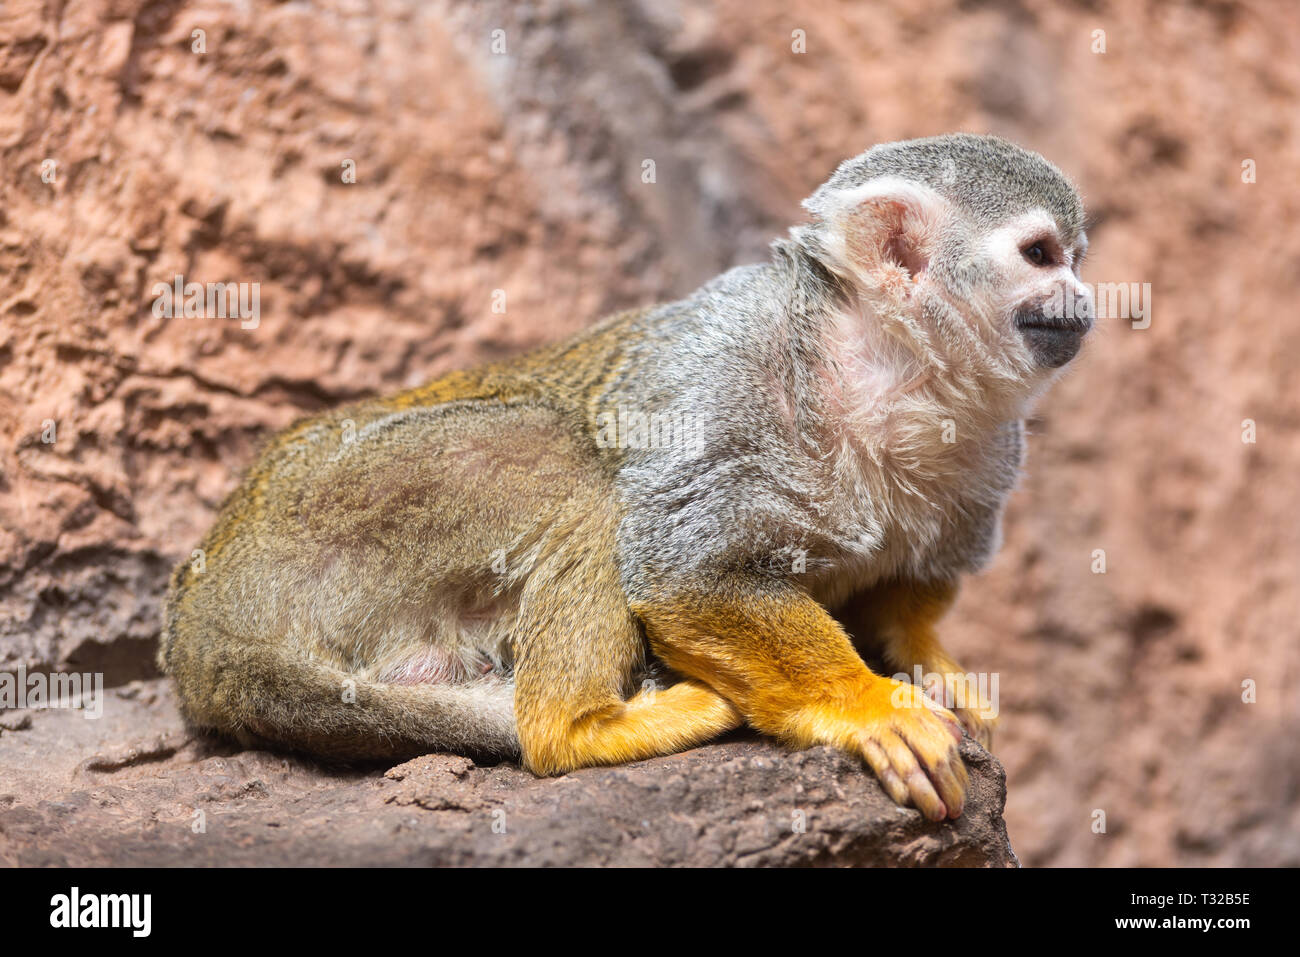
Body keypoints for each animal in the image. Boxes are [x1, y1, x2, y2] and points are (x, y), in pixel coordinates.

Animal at [158, 133, 1093, 822]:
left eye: (1076, 257)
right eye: (1040, 253)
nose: (1085, 299)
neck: (886, 373)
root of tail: (209, 609)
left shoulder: (994, 445)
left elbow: (906, 588)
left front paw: (928, 657)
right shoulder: (732, 387)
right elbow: (686, 573)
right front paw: (867, 705)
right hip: (339, 505)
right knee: (576, 469)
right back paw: (578, 730)